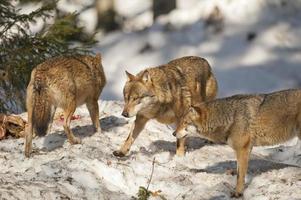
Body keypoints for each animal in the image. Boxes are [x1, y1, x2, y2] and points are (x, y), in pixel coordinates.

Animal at [172, 90, 300, 198]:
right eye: (180, 122)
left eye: (185, 123)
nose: (173, 133)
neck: (229, 118)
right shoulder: (246, 149)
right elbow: (239, 172)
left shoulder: (242, 150)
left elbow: (240, 176)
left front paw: (238, 193)